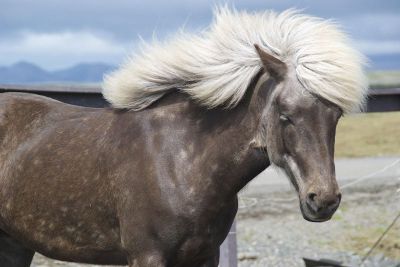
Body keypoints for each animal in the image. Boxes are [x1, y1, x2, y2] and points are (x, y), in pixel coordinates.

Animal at [0, 7, 366, 267]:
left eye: (336, 116)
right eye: (285, 114)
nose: (324, 200)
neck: (182, 163)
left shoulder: (205, 256)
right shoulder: (147, 256)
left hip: (17, 244)